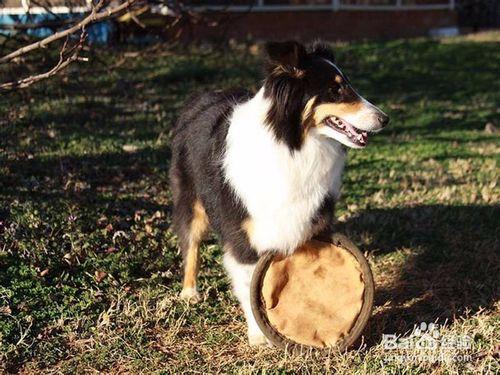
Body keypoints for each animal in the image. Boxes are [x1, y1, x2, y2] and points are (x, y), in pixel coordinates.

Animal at [170, 40, 388, 346]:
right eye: (336, 90)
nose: (385, 119)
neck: (293, 144)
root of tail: (202, 96)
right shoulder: (243, 235)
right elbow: (248, 281)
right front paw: (258, 334)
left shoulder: (313, 217)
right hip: (192, 199)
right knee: (191, 243)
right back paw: (190, 292)